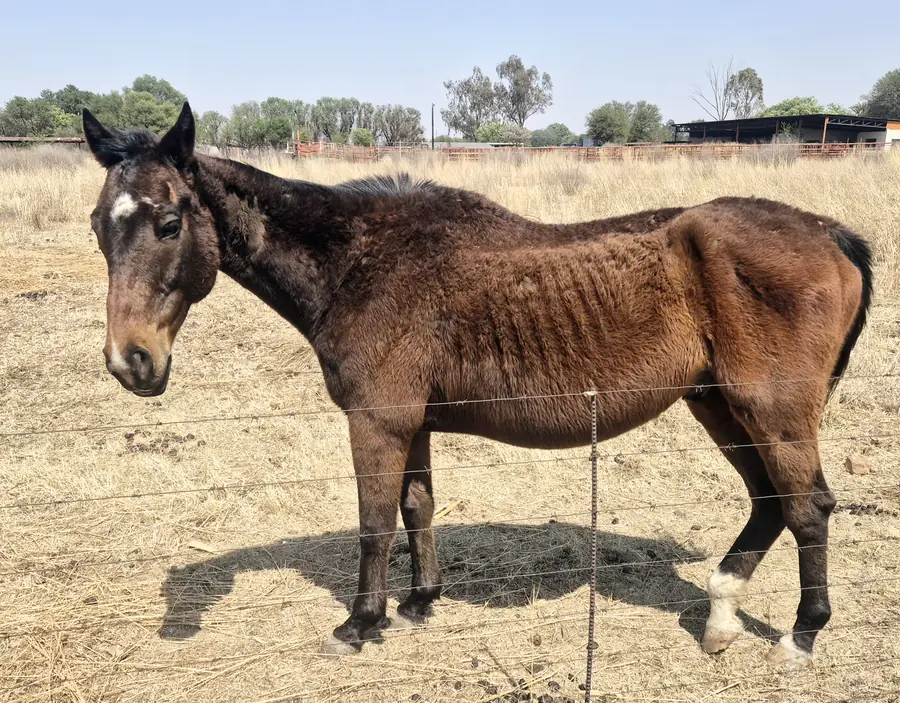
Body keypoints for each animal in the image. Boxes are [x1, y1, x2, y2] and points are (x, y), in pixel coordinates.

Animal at [81, 102, 872, 670]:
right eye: (97, 224)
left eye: (169, 221)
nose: (131, 362)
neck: (359, 261)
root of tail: (828, 232)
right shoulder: (413, 423)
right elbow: (417, 508)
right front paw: (419, 603)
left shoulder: (378, 421)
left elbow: (375, 523)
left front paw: (359, 622)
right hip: (717, 404)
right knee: (770, 500)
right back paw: (720, 618)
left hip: (767, 408)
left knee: (806, 506)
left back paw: (801, 636)